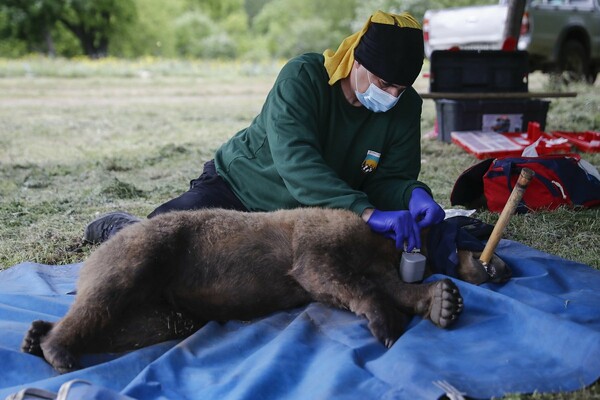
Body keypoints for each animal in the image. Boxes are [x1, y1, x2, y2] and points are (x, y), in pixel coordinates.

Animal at [21, 208, 508, 374]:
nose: (499, 268)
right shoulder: (323, 240)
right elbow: (327, 275)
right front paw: (386, 322)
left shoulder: (377, 261)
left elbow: (390, 284)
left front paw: (441, 302)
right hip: (144, 250)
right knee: (109, 292)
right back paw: (56, 348)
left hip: (162, 307)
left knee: (135, 324)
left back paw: (36, 335)